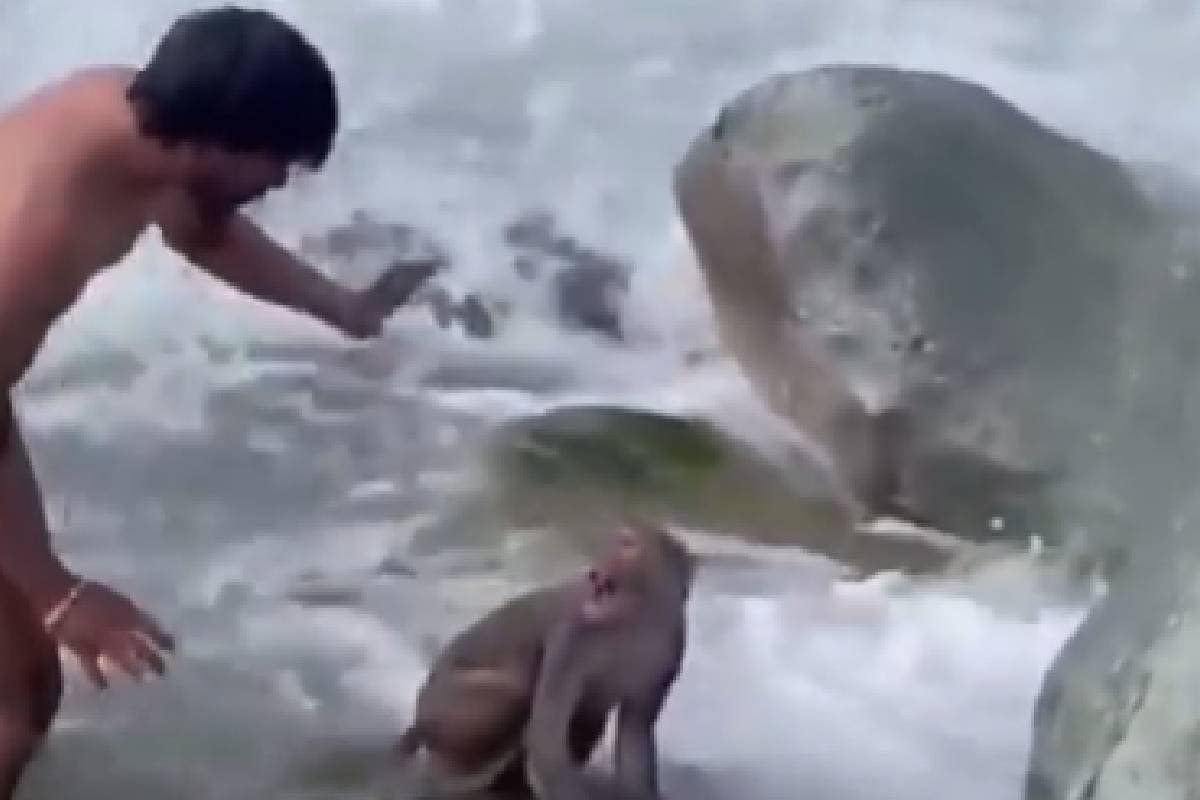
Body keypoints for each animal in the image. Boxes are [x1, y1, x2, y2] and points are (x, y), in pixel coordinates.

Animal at [398, 522, 695, 799]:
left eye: (628, 543)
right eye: (615, 539)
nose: (596, 568)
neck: (635, 621)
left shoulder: (667, 653)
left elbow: (636, 733)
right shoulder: (573, 635)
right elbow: (546, 727)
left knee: (589, 714)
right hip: (442, 703)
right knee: (517, 692)